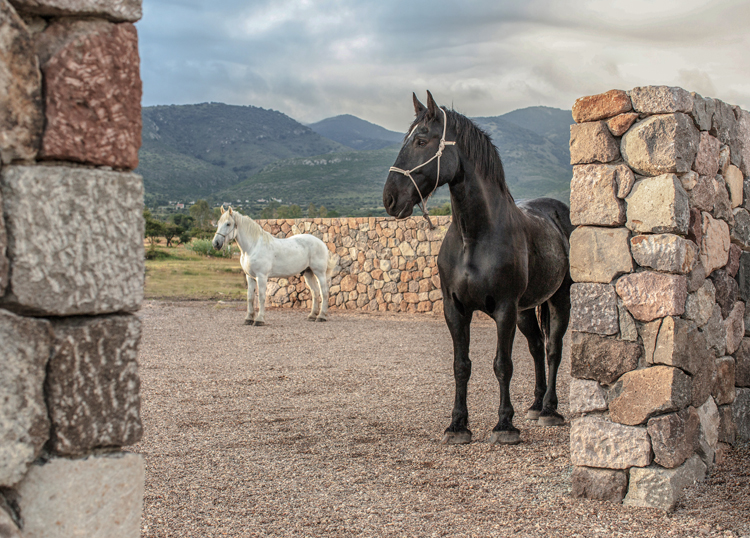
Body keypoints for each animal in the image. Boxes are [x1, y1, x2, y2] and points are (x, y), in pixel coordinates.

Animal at [384, 91, 572, 444]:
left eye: (420, 140)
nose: (390, 198)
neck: (475, 237)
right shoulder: (456, 309)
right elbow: (461, 365)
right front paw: (457, 425)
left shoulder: (505, 309)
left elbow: (502, 364)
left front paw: (504, 425)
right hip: (527, 310)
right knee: (536, 348)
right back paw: (535, 405)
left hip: (559, 300)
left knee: (553, 349)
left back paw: (550, 410)